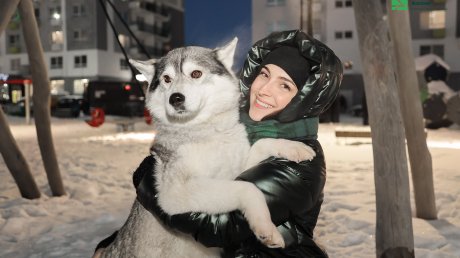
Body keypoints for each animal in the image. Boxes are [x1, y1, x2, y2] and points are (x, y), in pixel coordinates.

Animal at [99, 38, 316, 258]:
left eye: (196, 73)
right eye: (167, 79)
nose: (175, 98)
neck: (209, 133)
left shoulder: (235, 170)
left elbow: (262, 143)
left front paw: (294, 147)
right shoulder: (175, 194)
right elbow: (248, 188)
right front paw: (265, 227)